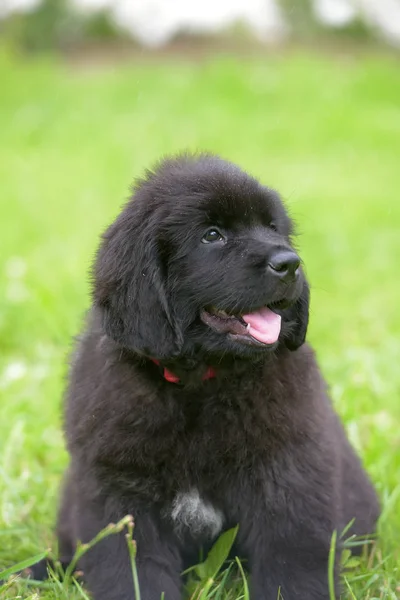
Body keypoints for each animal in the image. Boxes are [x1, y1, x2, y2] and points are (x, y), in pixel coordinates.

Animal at [32, 156, 378, 600]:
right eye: (212, 235)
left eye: (272, 227)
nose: (290, 264)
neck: (200, 382)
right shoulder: (118, 489)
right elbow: (131, 567)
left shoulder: (291, 472)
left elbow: (293, 558)